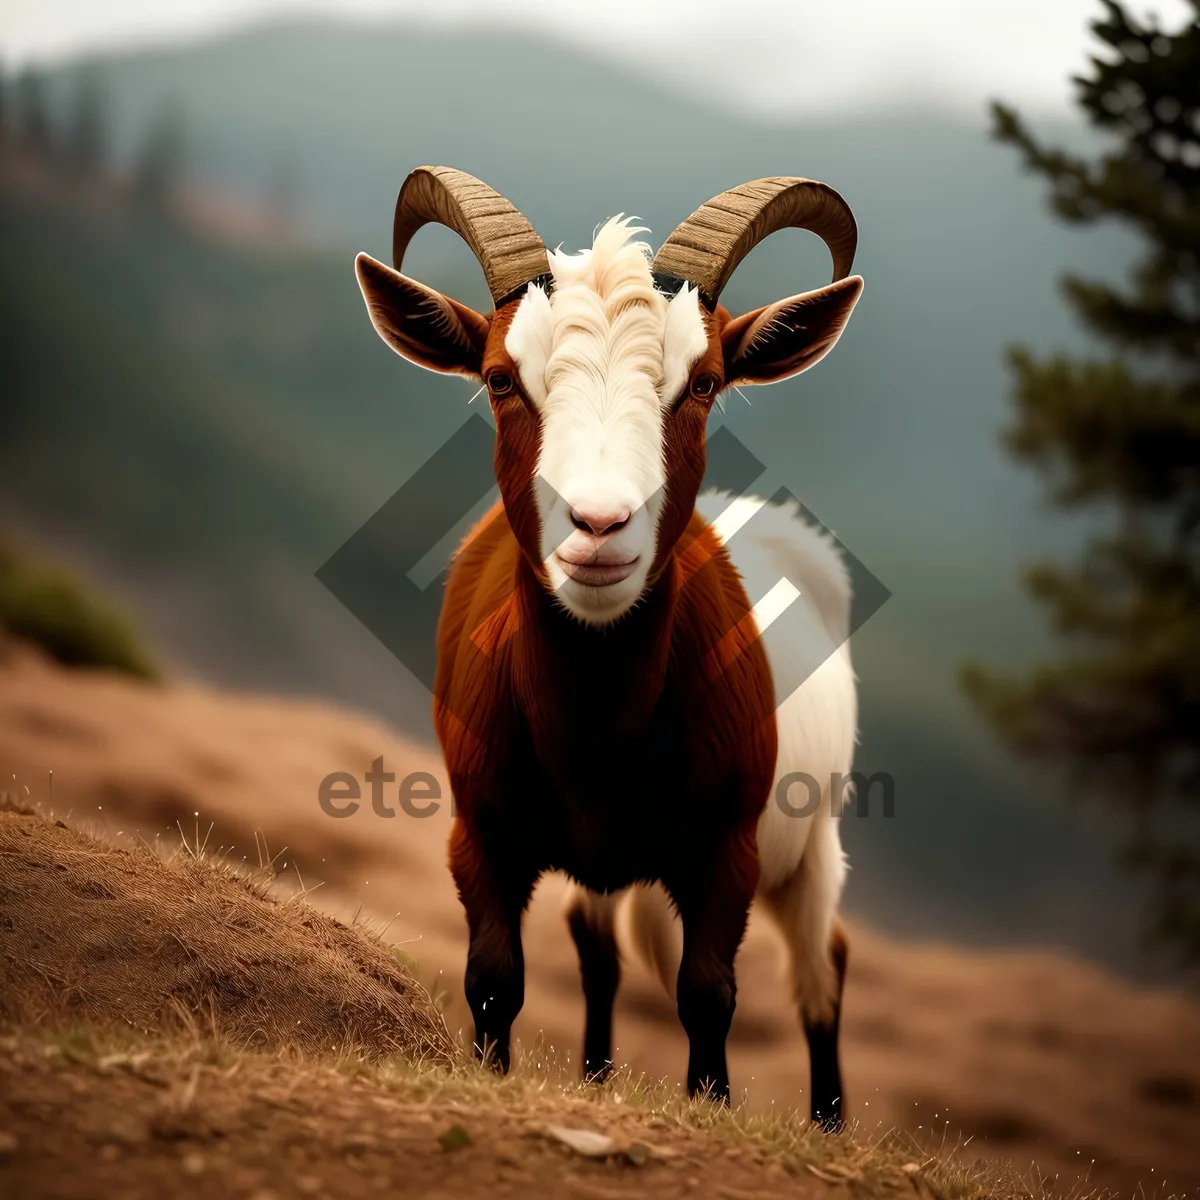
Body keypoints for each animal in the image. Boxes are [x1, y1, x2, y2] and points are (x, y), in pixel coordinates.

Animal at [352, 166, 864, 1123]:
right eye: (499, 378)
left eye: (703, 383)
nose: (598, 526)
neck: (596, 730)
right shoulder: (480, 832)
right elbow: (494, 980)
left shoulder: (727, 851)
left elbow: (708, 995)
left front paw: (712, 1107)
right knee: (599, 960)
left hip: (811, 841)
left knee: (824, 970)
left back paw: (827, 1125)